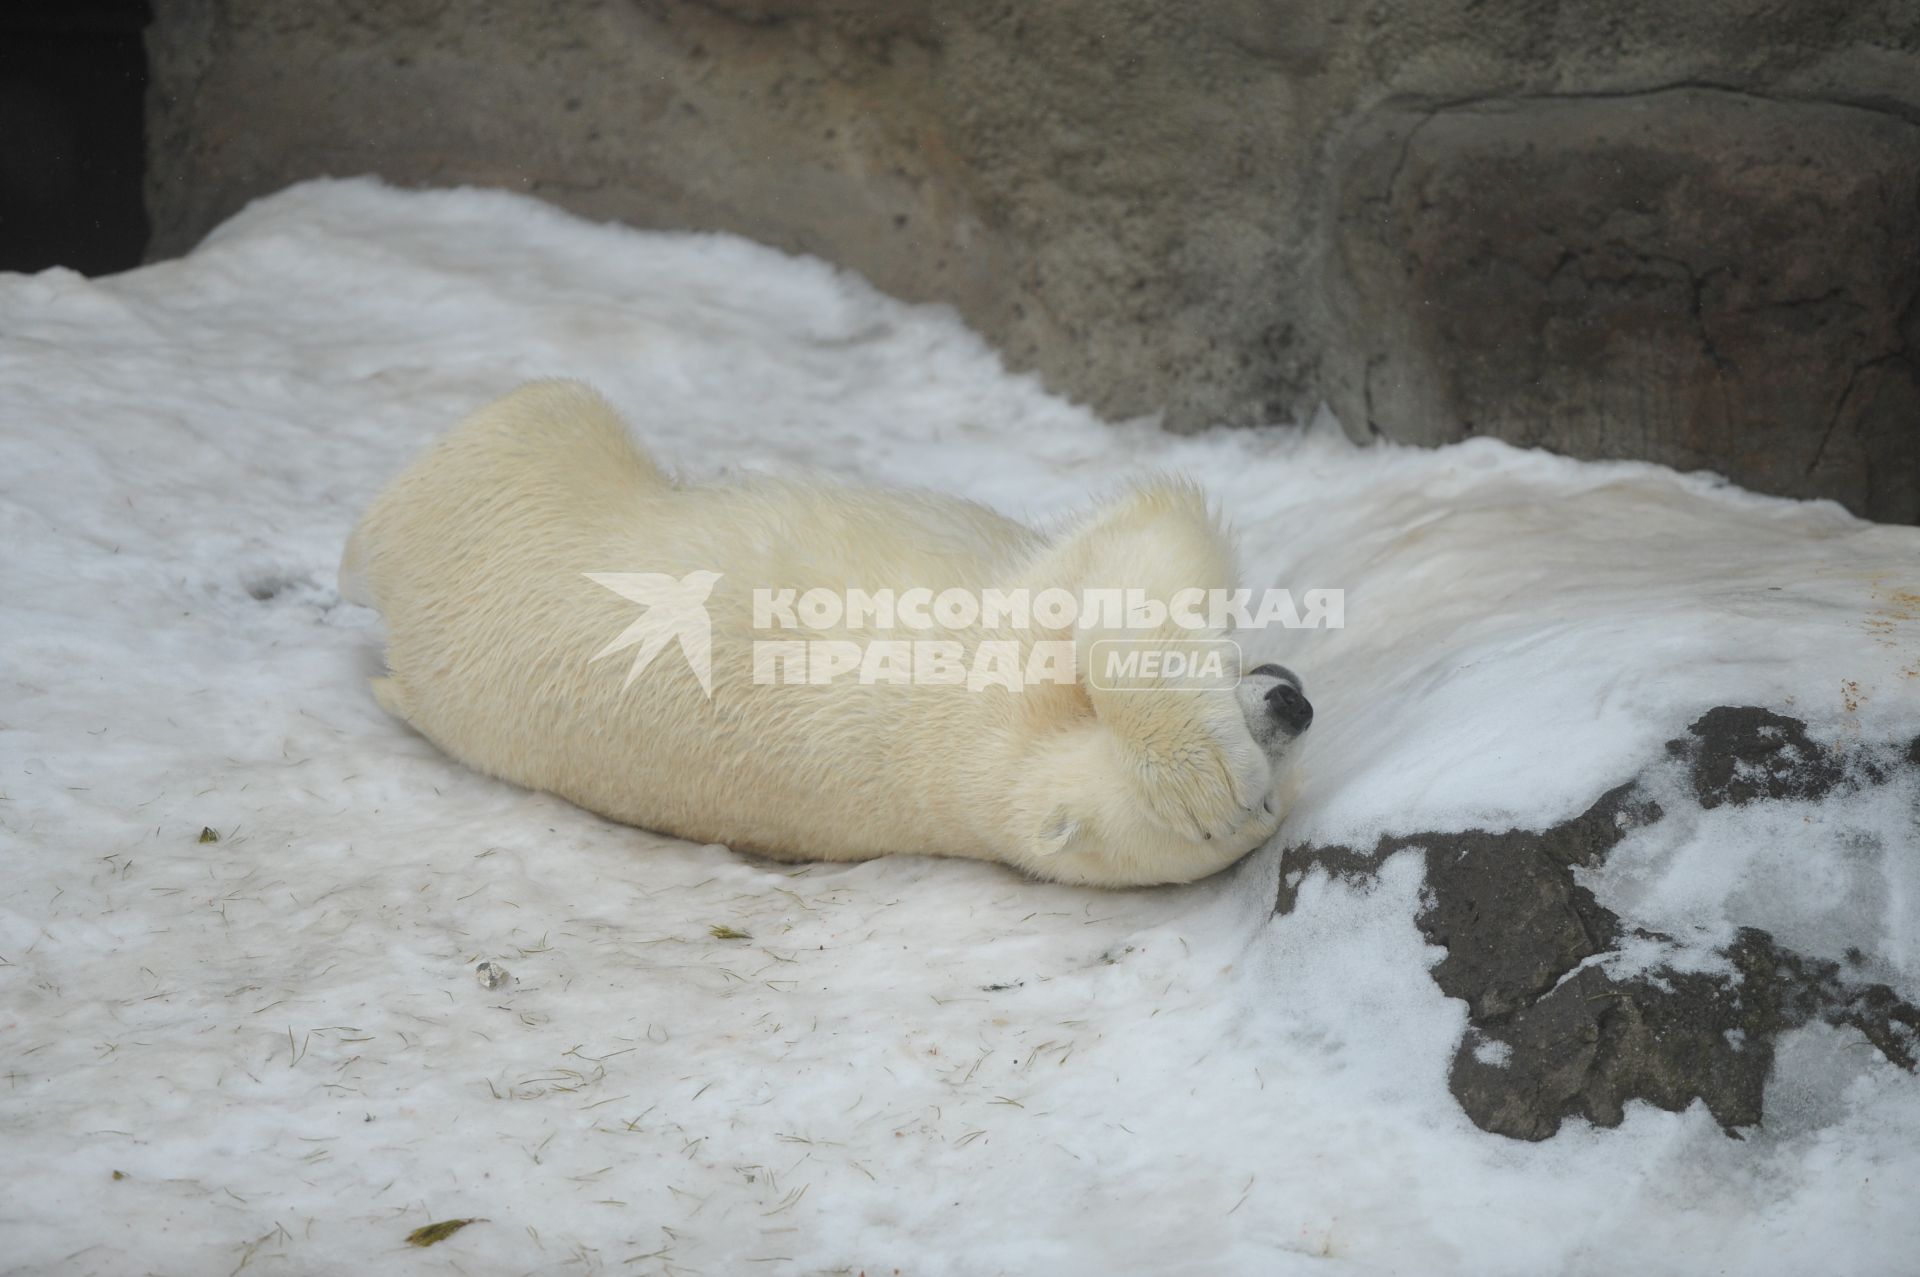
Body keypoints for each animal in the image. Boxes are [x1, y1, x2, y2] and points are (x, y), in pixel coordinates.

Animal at [341, 378, 1305, 887]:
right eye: (1262, 795)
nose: (1291, 703)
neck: (977, 785)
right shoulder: (996, 662)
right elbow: (1135, 541)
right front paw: (1201, 772)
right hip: (526, 481)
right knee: (538, 412)